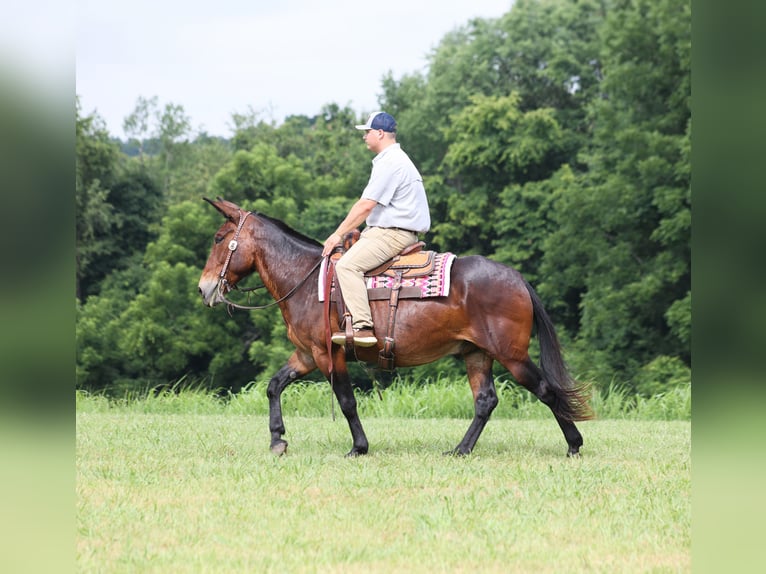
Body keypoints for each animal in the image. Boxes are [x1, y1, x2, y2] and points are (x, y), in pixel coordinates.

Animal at [198, 197, 593, 457]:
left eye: (218, 238)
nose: (204, 288)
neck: (307, 281)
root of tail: (517, 278)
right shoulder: (307, 355)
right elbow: (273, 385)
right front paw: (277, 439)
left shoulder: (329, 354)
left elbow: (346, 401)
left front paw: (359, 447)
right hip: (477, 354)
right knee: (485, 401)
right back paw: (461, 449)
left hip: (510, 355)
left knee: (545, 389)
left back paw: (574, 444)